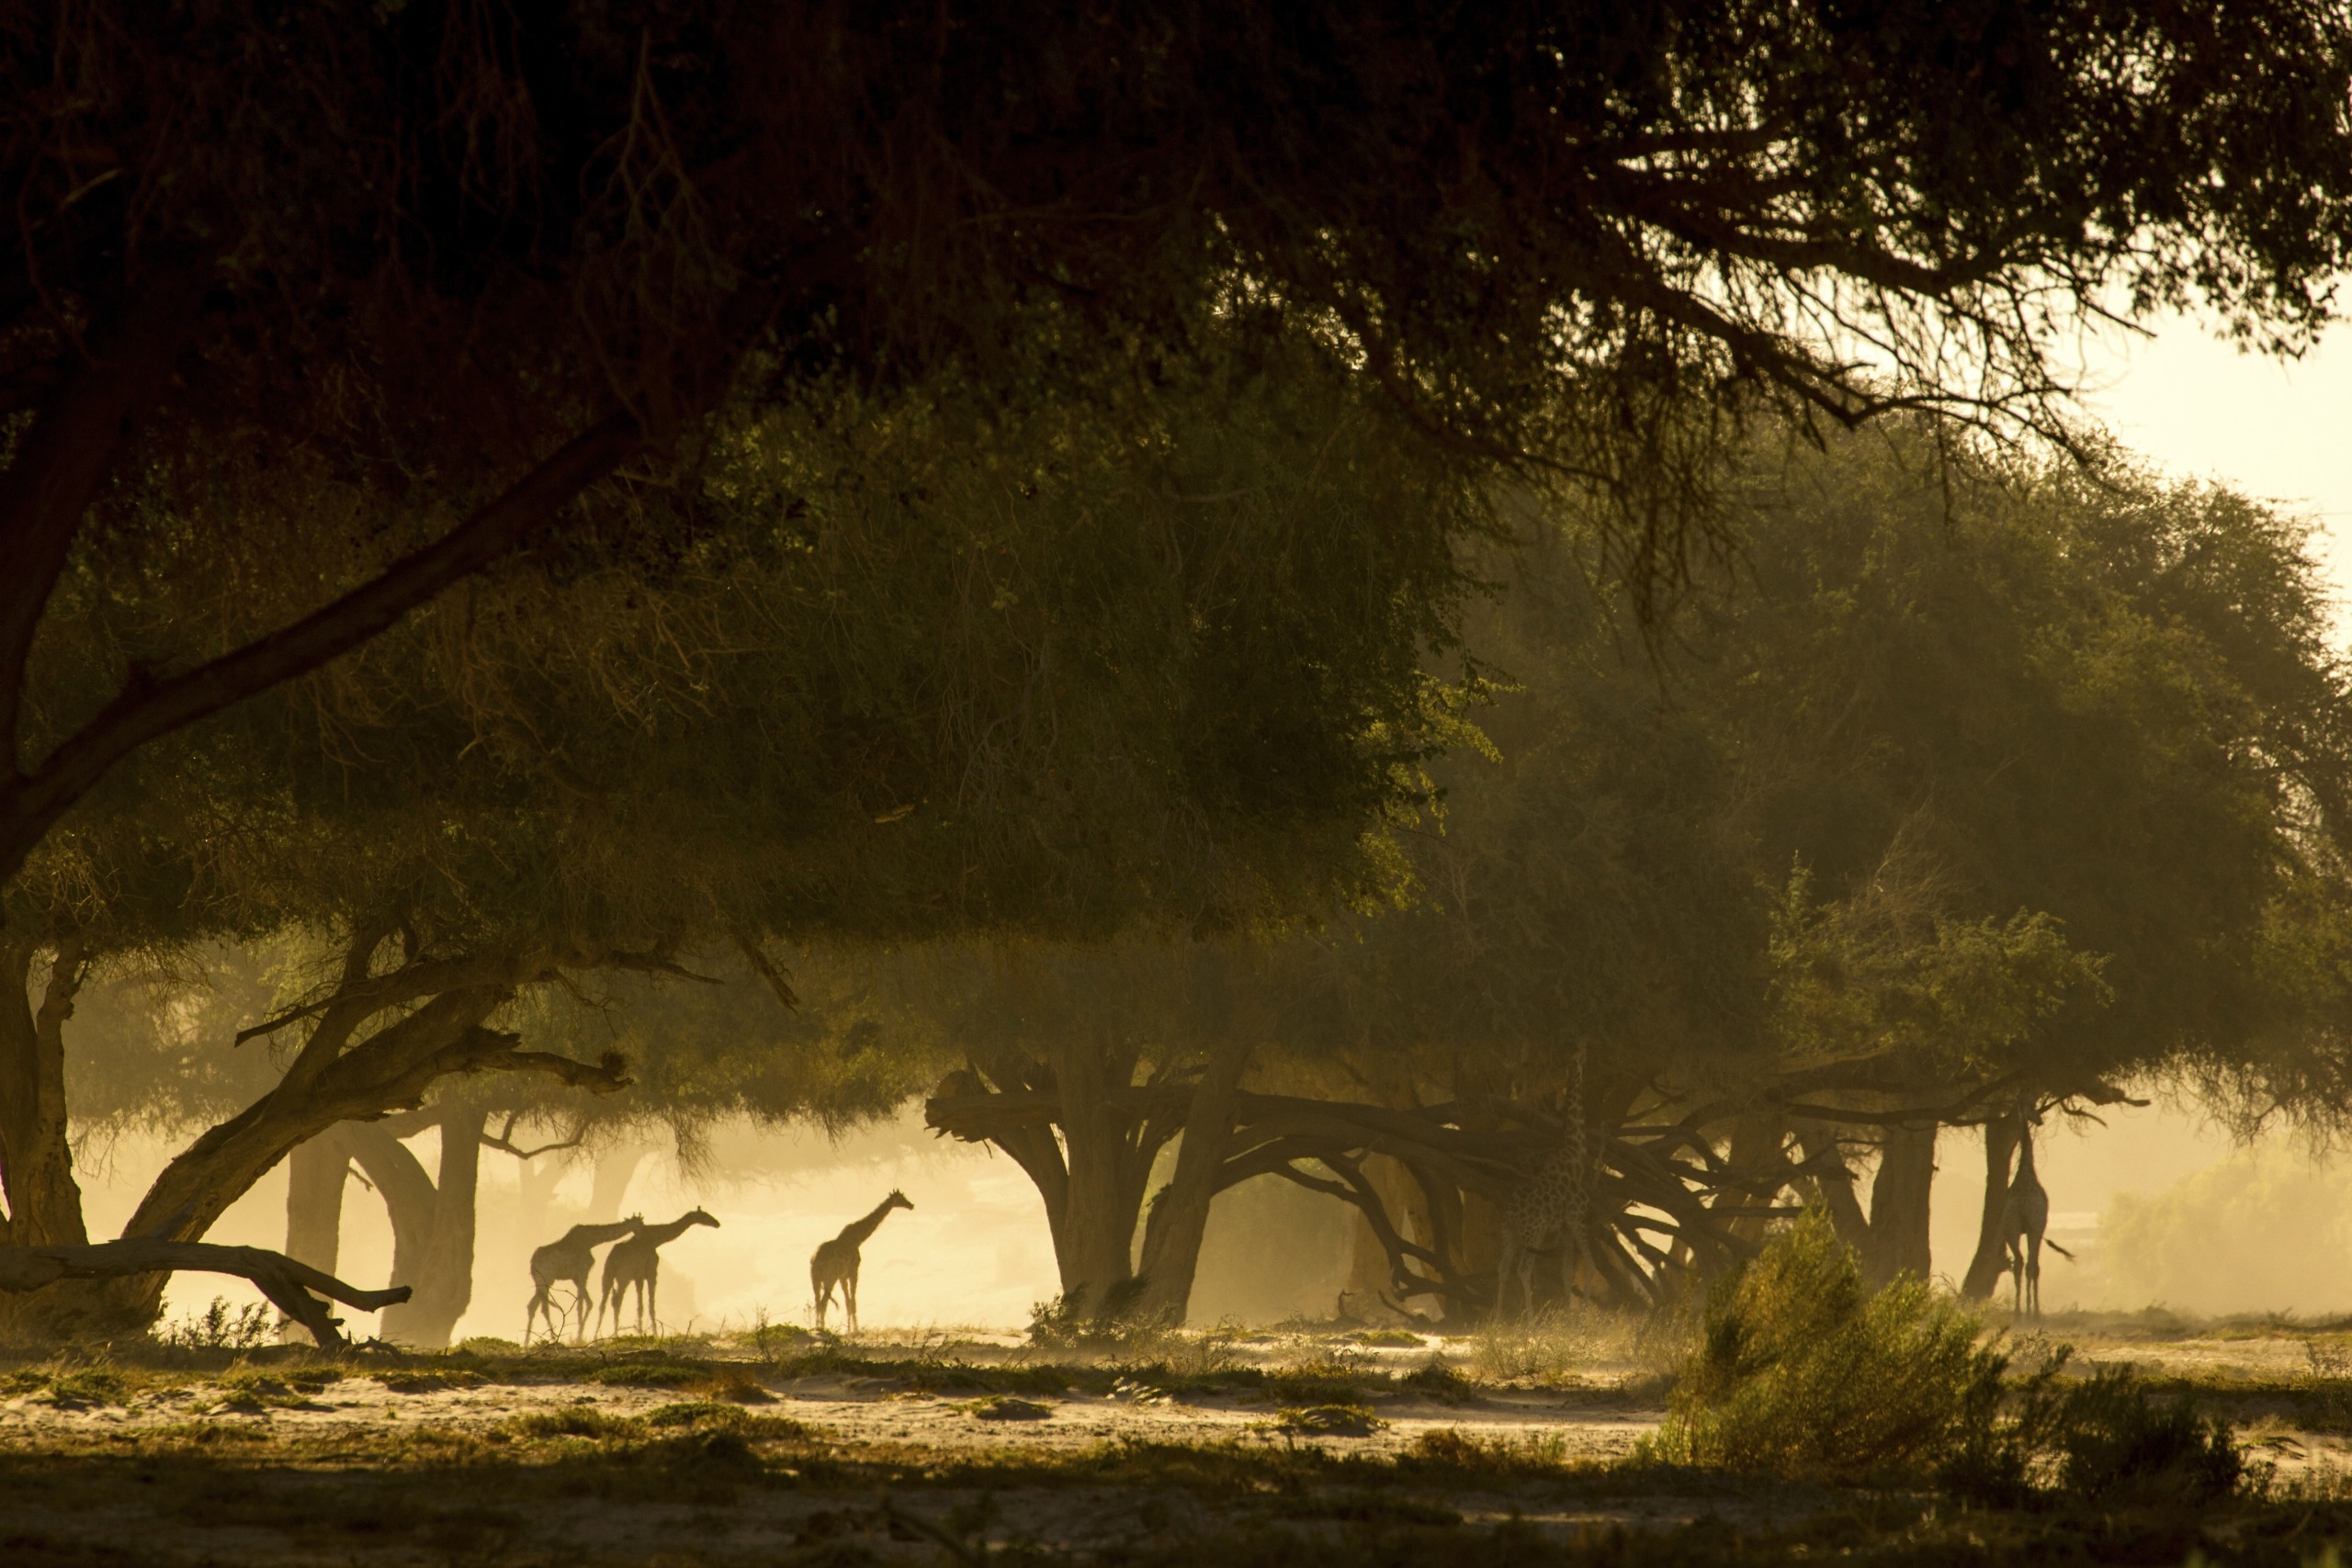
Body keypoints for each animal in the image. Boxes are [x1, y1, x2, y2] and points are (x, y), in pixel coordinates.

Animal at [529, 1222, 644, 1344]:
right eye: (640, 1224)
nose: (641, 1236)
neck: (591, 1241)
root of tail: (532, 1262)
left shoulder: (577, 1278)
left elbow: (589, 1303)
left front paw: (580, 1334)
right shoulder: (583, 1272)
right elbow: (581, 1305)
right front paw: (579, 1337)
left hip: (540, 1282)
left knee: (532, 1305)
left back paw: (527, 1342)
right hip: (546, 1279)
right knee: (543, 1308)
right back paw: (554, 1338)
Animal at [597, 1213, 715, 1335]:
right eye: (705, 1215)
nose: (717, 1223)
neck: (655, 1239)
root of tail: (612, 1259)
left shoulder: (639, 1276)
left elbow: (641, 1306)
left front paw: (642, 1331)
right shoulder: (650, 1272)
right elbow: (649, 1305)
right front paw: (653, 1333)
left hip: (607, 1276)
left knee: (604, 1303)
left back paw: (599, 1334)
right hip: (623, 1277)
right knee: (617, 1301)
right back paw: (614, 1334)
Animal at [813, 1194, 912, 1335]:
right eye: (902, 1198)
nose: (911, 1205)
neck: (857, 1239)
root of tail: (816, 1261)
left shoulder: (842, 1276)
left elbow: (848, 1301)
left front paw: (849, 1329)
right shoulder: (854, 1271)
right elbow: (853, 1301)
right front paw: (856, 1330)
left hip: (816, 1280)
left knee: (817, 1302)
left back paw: (816, 1327)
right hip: (829, 1278)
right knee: (823, 1303)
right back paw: (822, 1329)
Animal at [1486, 1048, 1599, 1316]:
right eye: (1579, 1059)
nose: (1586, 1055)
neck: (1575, 1155)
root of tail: (1512, 1213)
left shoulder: (1565, 1229)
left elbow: (1567, 1272)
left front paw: (1570, 1316)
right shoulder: (1576, 1218)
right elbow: (1590, 1265)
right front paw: (1583, 1312)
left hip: (1511, 1233)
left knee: (1503, 1268)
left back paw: (1498, 1318)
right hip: (1533, 1232)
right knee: (1523, 1269)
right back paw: (1531, 1320)